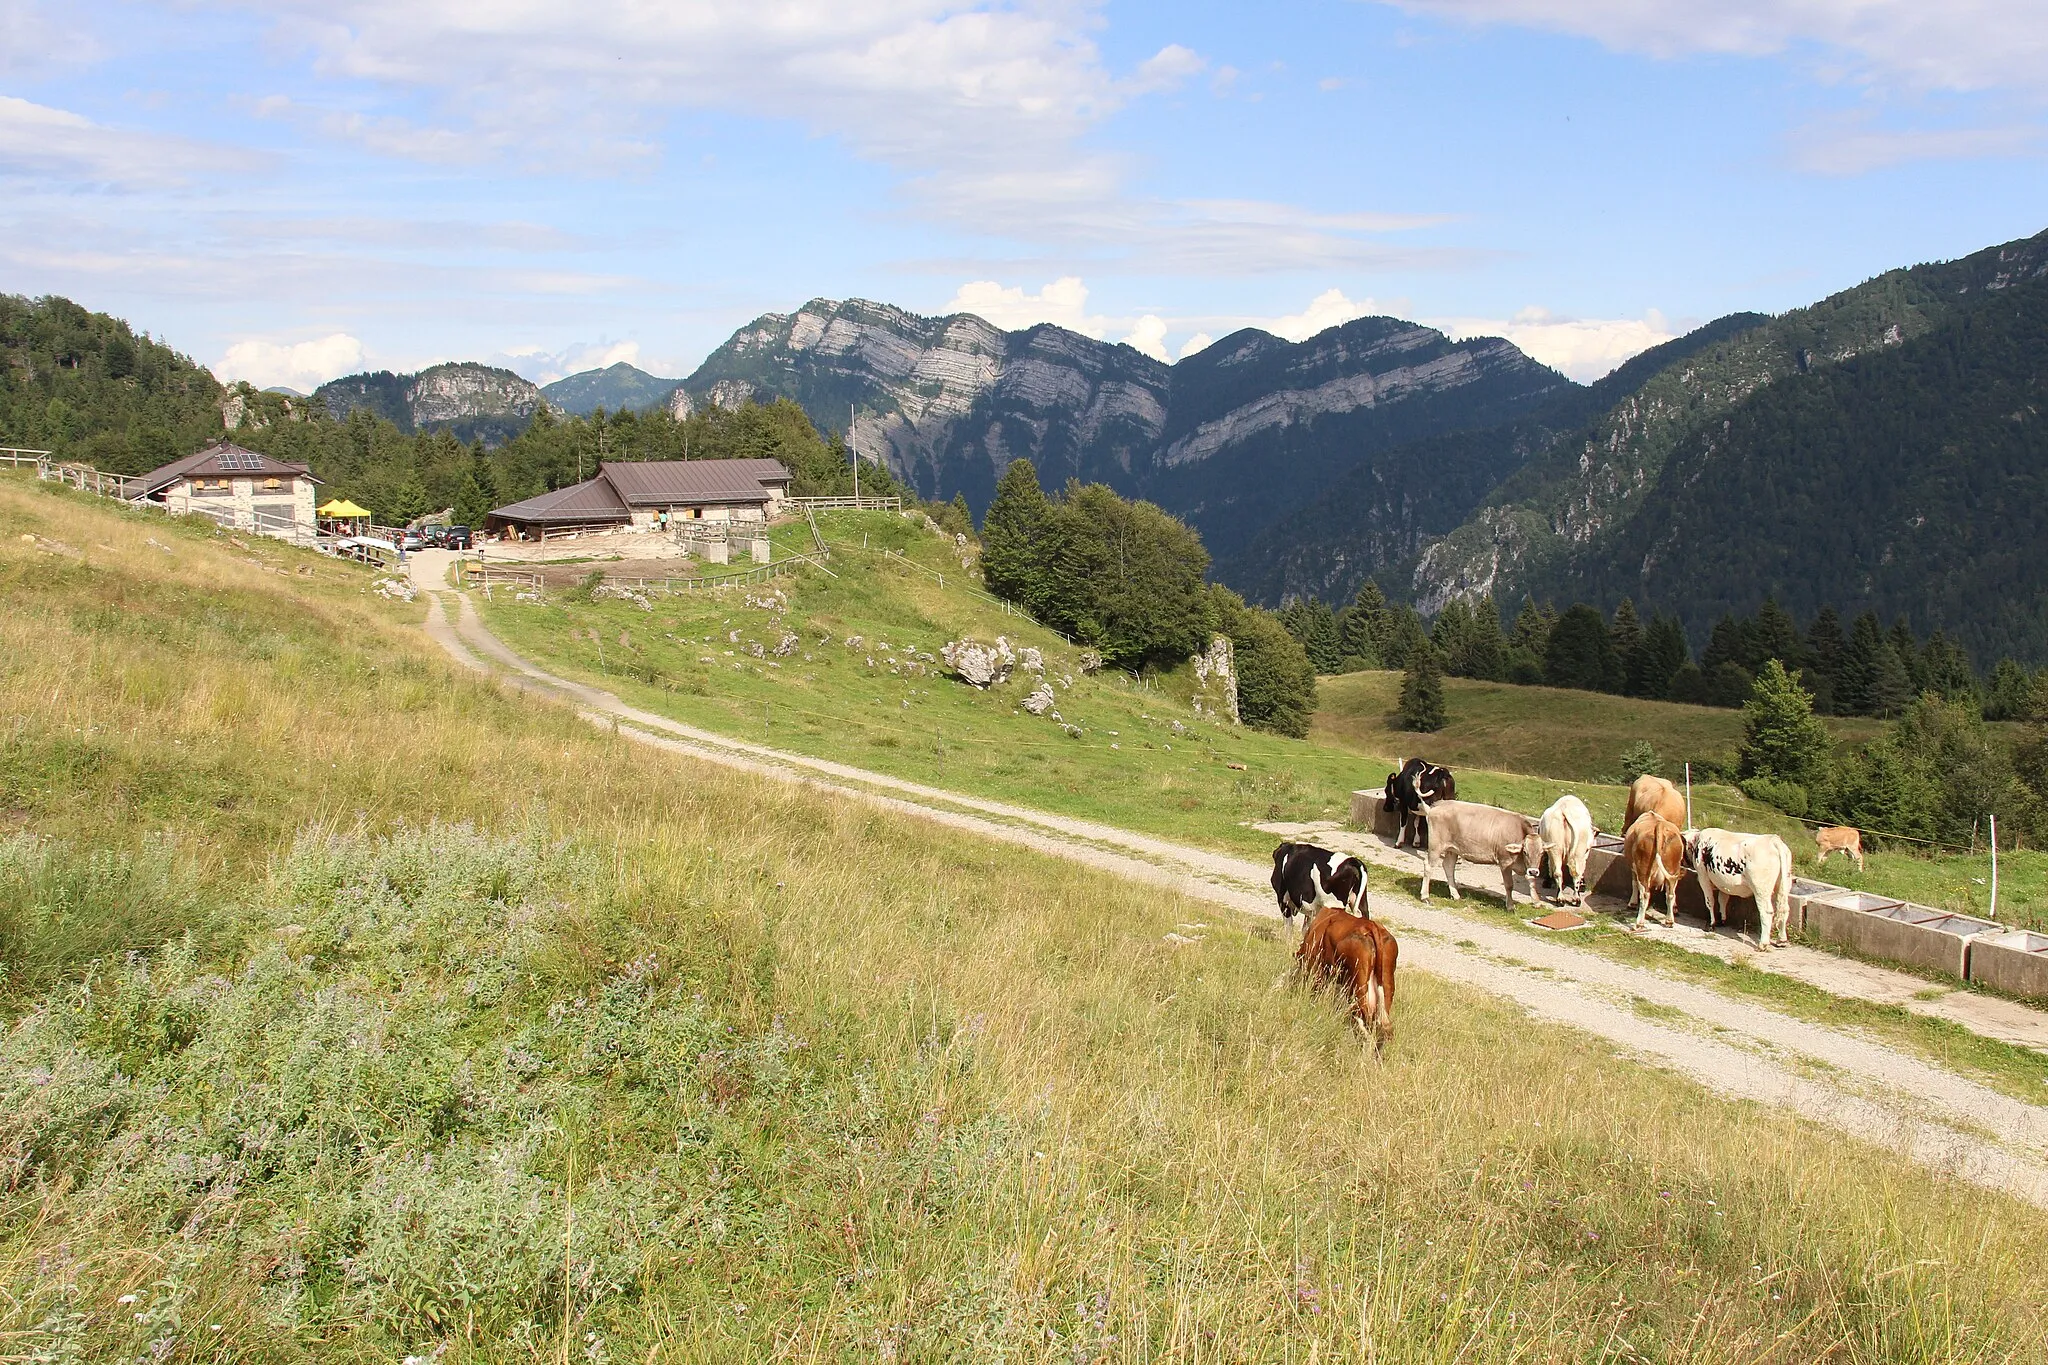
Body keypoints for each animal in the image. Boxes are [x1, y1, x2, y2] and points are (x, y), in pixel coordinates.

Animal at [1286, 912, 1400, 1055]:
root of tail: (1370, 925)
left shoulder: (1318, 972)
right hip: (1385, 989)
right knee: (1381, 1029)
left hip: (1358, 988)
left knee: (1366, 1026)